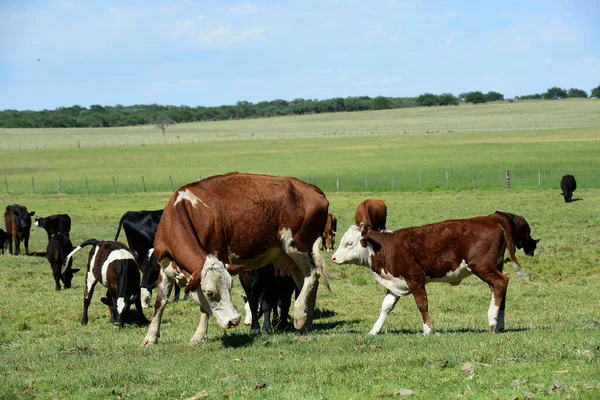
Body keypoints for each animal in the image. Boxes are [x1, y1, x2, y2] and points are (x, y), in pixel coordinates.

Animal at [141, 173, 328, 346]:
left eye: (230, 288)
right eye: (210, 292)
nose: (234, 321)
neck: (183, 211)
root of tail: (312, 189)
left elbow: (203, 308)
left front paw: (199, 336)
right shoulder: (165, 267)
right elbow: (160, 302)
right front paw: (150, 337)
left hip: (298, 247)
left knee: (312, 276)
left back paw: (300, 315)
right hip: (290, 259)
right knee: (305, 282)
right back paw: (307, 322)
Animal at [332, 214, 528, 336]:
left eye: (349, 243)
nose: (333, 257)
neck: (387, 248)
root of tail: (491, 218)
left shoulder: (415, 279)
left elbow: (422, 304)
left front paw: (427, 329)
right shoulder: (396, 284)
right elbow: (385, 307)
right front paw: (374, 330)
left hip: (482, 266)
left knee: (501, 283)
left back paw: (492, 320)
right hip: (493, 267)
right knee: (499, 289)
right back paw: (499, 323)